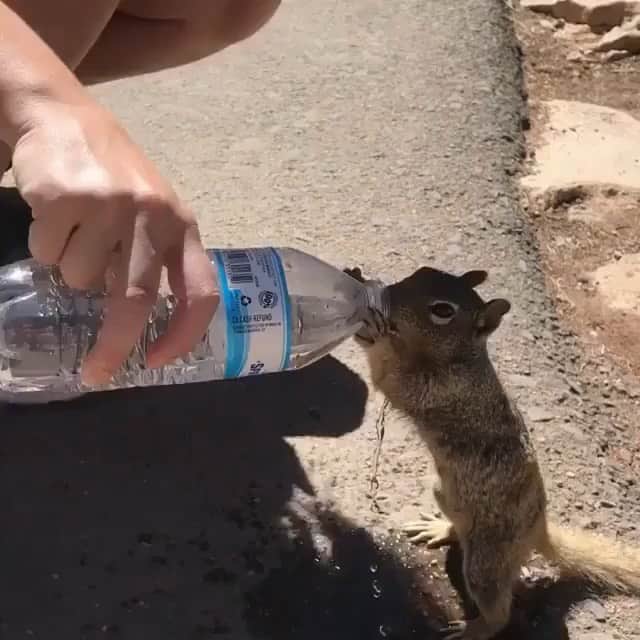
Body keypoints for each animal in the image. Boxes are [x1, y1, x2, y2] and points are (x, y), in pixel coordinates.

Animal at [344, 265, 640, 640]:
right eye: (422, 272)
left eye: (443, 310)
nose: (388, 297)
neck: (460, 357)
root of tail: (538, 529)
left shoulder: (440, 390)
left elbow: (390, 378)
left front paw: (373, 330)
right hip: (445, 493)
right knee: (459, 528)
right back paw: (440, 529)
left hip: (487, 559)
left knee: (498, 610)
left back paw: (472, 629)